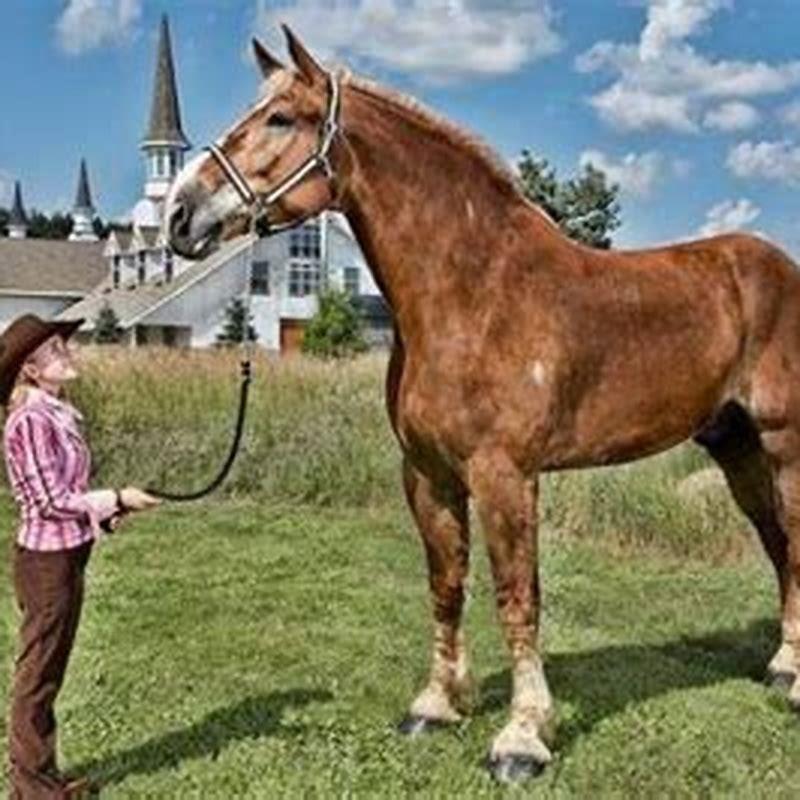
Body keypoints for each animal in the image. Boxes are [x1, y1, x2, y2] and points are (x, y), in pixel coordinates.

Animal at [165, 26, 800, 782]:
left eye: (281, 119)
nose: (180, 215)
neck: (473, 293)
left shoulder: (505, 475)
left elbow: (517, 597)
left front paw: (522, 737)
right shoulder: (429, 474)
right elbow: (448, 584)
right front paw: (436, 705)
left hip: (785, 444)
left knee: (795, 541)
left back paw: (792, 673)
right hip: (736, 447)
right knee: (778, 543)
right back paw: (781, 666)